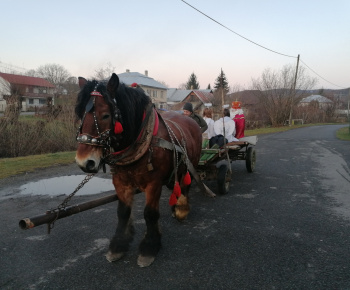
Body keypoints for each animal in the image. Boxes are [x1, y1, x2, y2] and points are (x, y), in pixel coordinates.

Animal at [75, 73, 204, 268]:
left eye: (105, 115)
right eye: (81, 114)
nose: (84, 162)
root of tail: (189, 119)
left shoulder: (154, 183)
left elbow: (150, 214)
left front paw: (149, 247)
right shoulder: (121, 182)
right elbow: (123, 213)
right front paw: (118, 246)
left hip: (191, 164)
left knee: (185, 185)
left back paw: (181, 208)